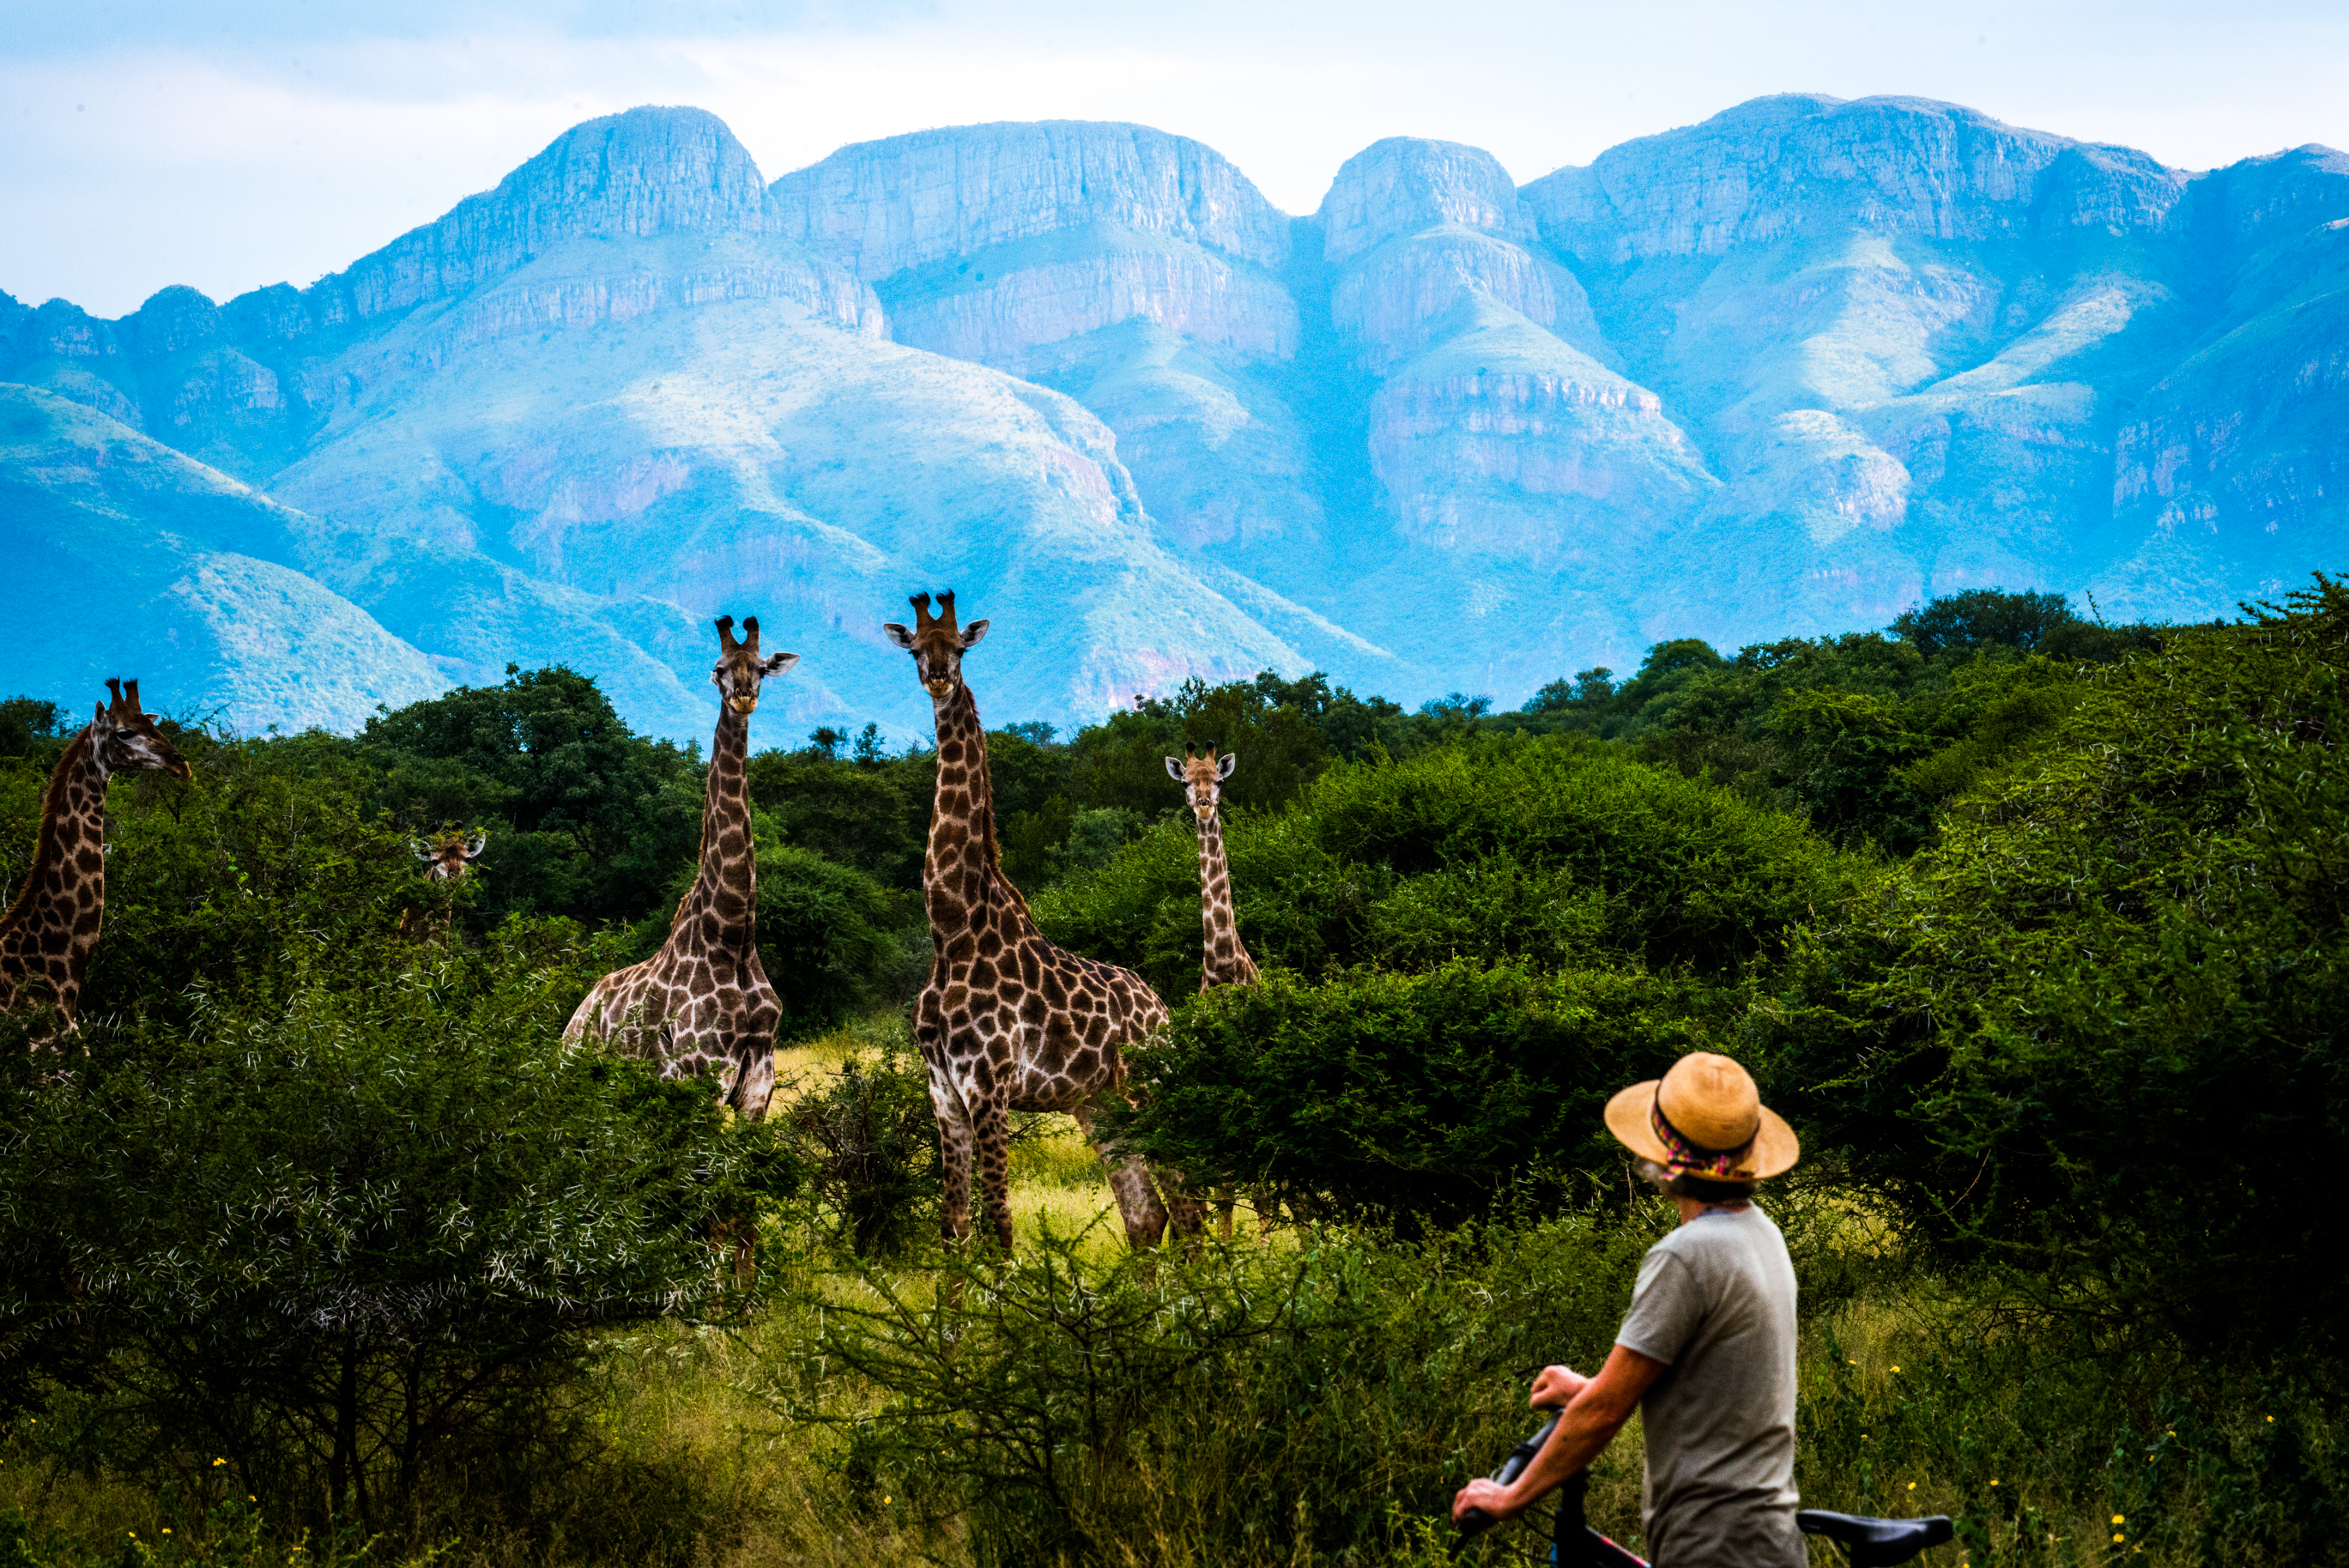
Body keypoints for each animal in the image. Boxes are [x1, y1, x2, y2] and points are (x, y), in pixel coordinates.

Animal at [564, 616, 797, 1122]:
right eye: (719, 668)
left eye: (762, 668)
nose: (744, 695)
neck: (733, 936)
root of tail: (576, 1015)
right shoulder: (699, 1077)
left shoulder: (758, 1089)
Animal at [885, 590, 1203, 1252]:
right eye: (914, 649)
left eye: (959, 648)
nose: (937, 677)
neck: (951, 929)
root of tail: (1163, 1011)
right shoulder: (943, 1090)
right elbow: (954, 1227)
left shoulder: (989, 1084)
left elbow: (999, 1225)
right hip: (1098, 1104)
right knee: (1146, 1214)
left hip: (1145, 1089)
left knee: (1188, 1209)